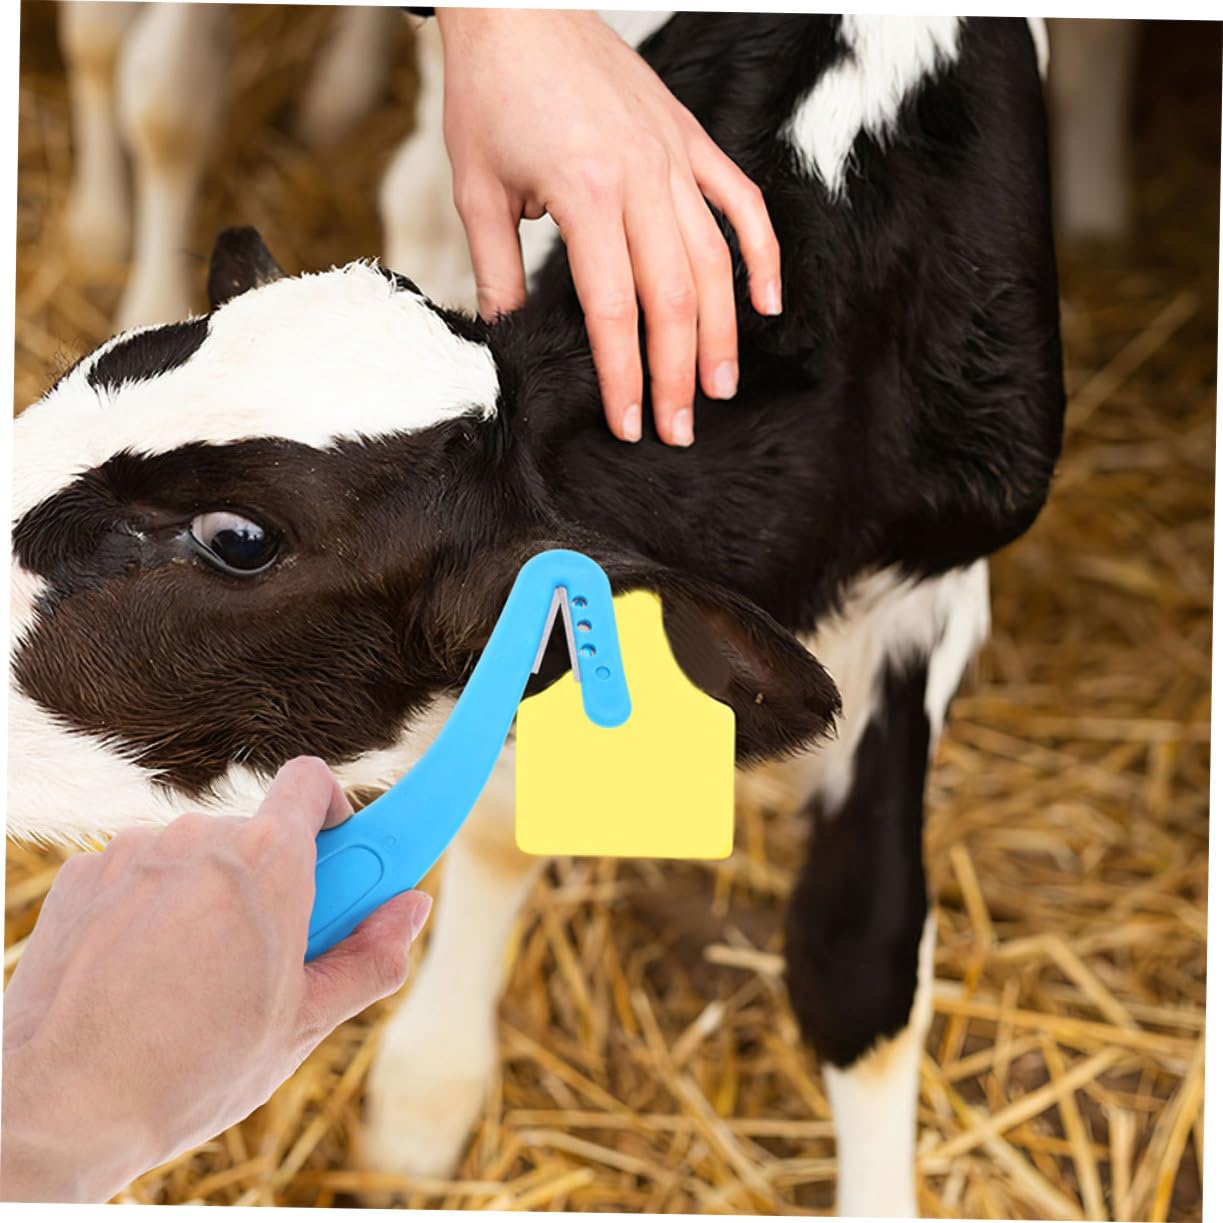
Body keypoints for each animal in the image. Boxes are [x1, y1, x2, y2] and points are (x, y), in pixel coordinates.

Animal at [11, 15, 1065, 1216]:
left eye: (239, 538)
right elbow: (502, 816)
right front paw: (426, 1089)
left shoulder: (927, 598)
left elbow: (861, 955)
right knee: (179, 98)